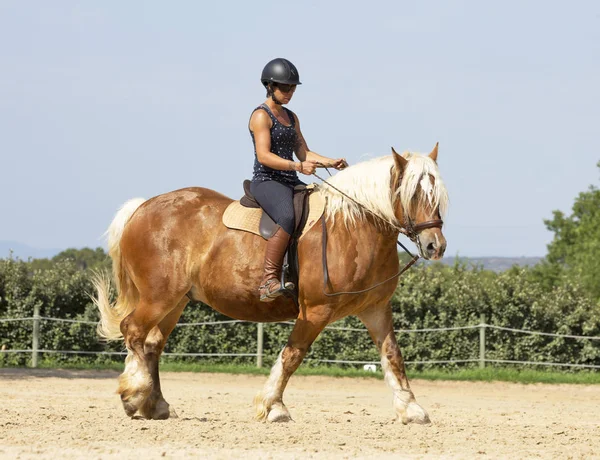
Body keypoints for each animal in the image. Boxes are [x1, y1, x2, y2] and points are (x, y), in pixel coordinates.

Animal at [94, 144, 448, 424]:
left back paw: (154, 404)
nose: (435, 246)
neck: (353, 227)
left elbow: (392, 355)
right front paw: (273, 406)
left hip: (176, 301)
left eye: (438, 195)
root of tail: (141, 208)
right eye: (413, 193)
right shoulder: (315, 311)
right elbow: (292, 356)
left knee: (152, 343)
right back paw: (135, 393)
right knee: (134, 331)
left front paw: (411, 409)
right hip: (159, 297)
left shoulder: (375, 308)